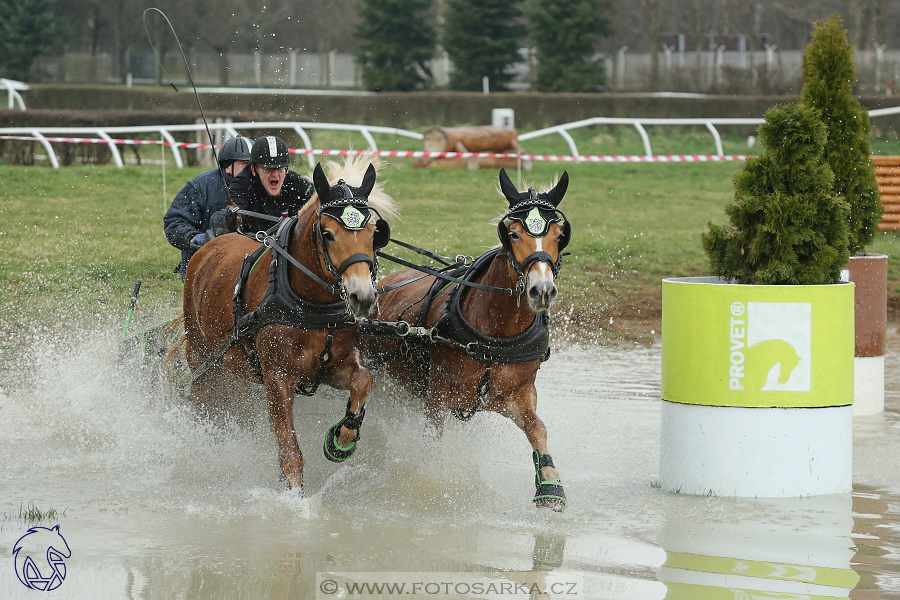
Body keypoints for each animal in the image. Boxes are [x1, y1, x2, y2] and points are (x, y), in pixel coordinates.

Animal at [182, 155, 394, 492]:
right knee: (204, 398)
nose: (362, 296)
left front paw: (343, 439)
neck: (312, 305)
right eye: (328, 233)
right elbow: (290, 449)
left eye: (375, 233)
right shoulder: (278, 377)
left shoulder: (334, 367)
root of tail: (211, 244)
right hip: (203, 357)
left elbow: (363, 379)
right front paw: (294, 493)